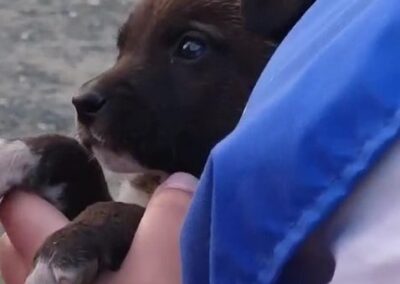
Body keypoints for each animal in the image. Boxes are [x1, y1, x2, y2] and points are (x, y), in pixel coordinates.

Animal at [0, 1, 314, 282]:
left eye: (191, 47)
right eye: (122, 47)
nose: (81, 102)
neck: (158, 180)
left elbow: (125, 211)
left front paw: (66, 245)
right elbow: (72, 152)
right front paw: (11, 155)